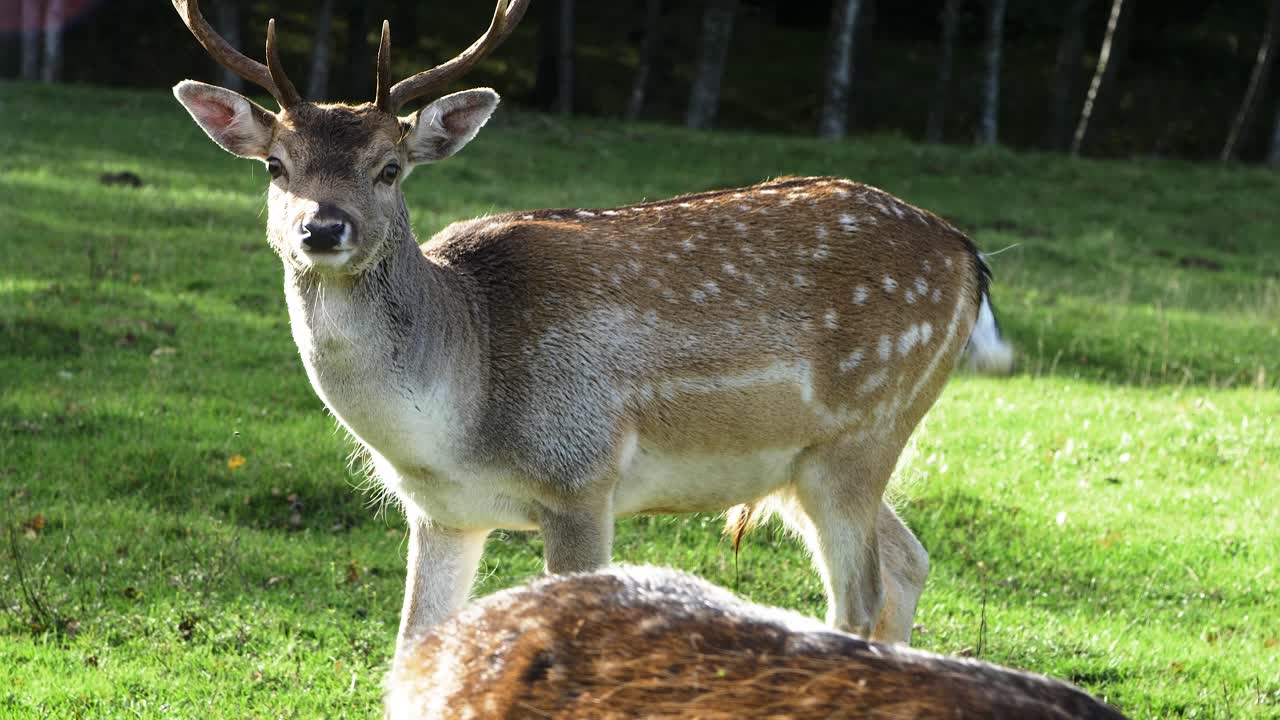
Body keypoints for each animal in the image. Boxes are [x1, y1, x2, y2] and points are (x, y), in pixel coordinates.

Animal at [170, 0, 1015, 666]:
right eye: (276, 166)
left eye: (390, 168)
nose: (322, 228)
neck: (456, 412)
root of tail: (968, 258)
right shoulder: (441, 511)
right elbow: (411, 646)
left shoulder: (580, 474)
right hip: (814, 463)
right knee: (910, 562)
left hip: (865, 427)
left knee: (857, 597)